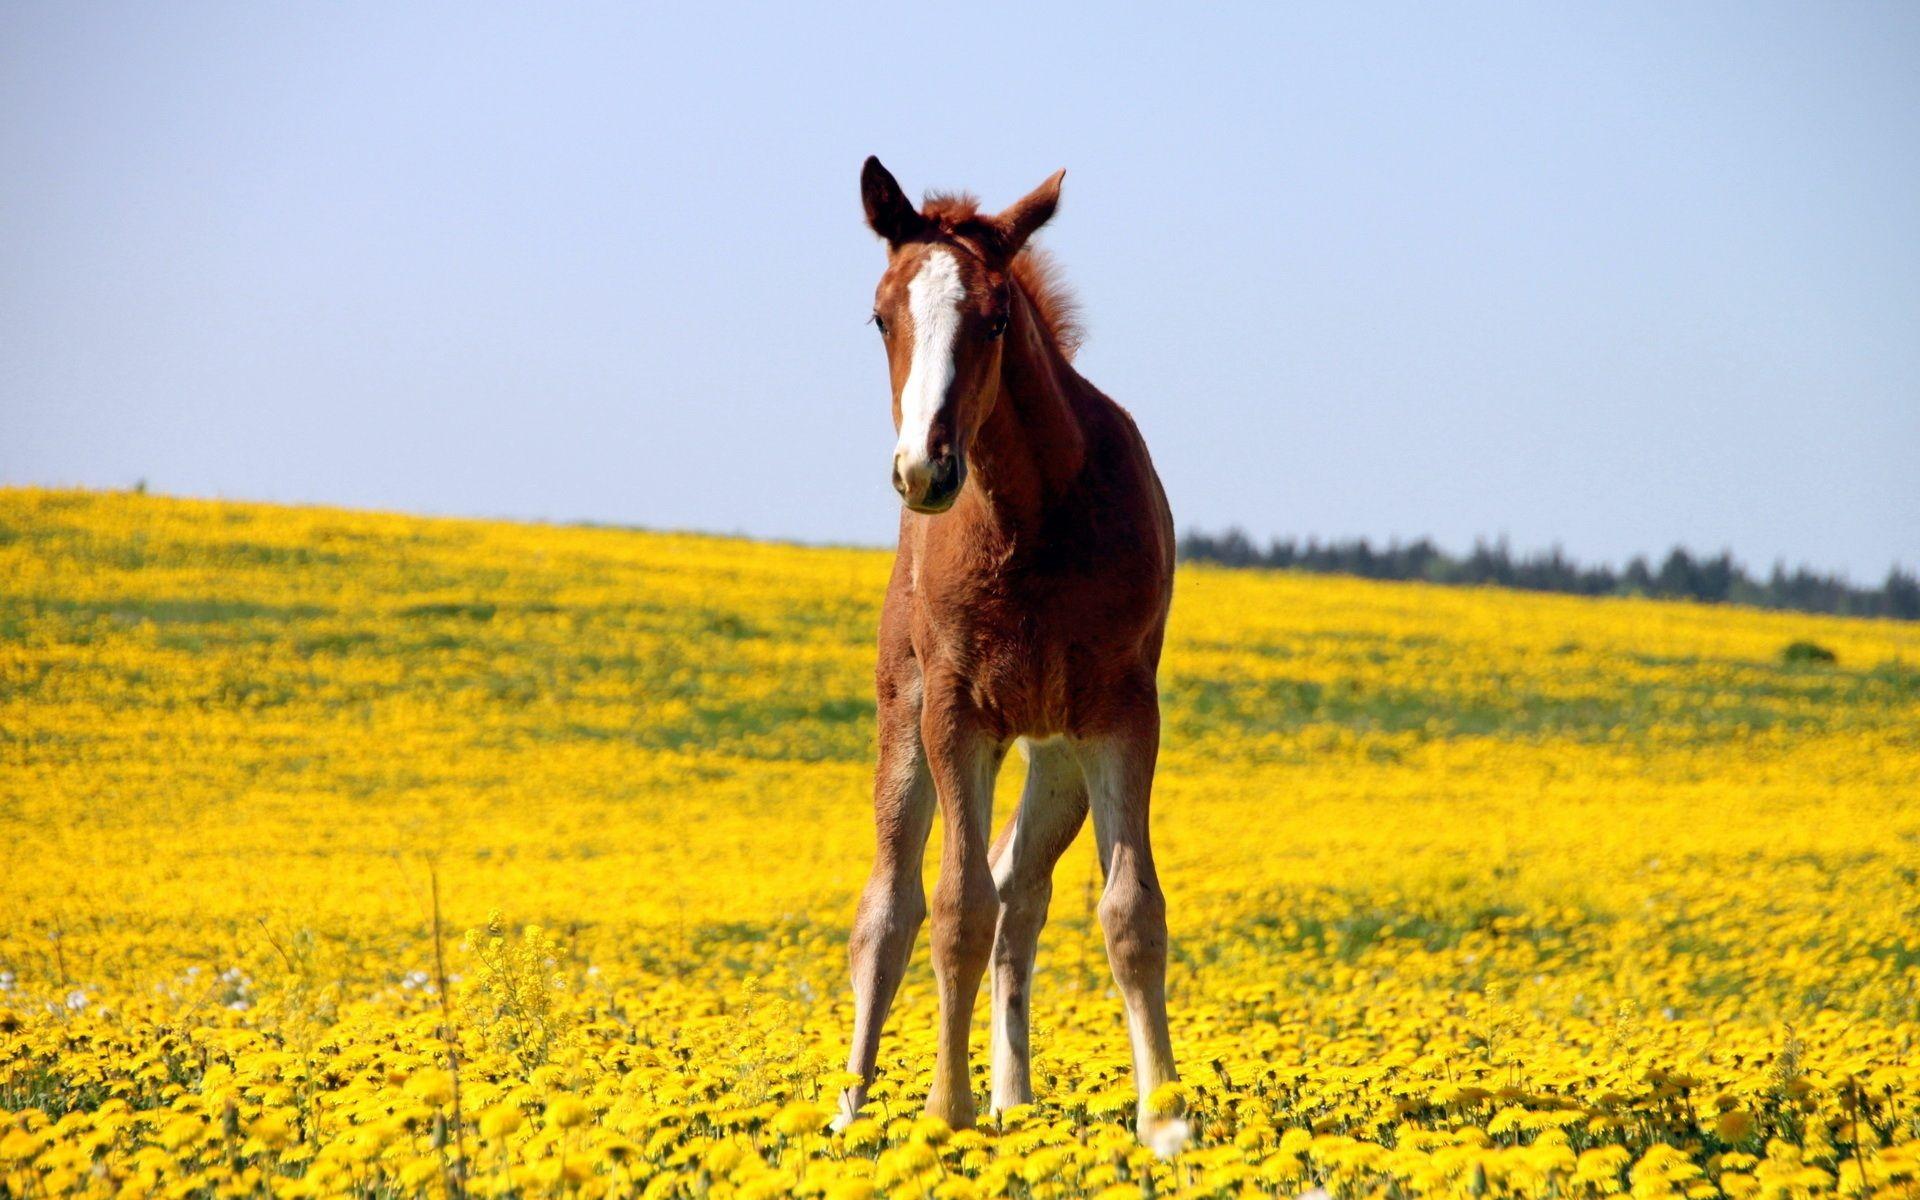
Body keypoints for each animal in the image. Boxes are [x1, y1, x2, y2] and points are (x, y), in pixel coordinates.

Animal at [838, 157, 1186, 1155]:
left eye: (995, 319)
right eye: (882, 316)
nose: (923, 470)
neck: (1031, 522)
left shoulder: (1119, 714)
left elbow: (1129, 911)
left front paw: (1166, 1120)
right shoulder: (958, 713)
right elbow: (953, 907)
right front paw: (943, 1112)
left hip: (1056, 761)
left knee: (1018, 890)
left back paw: (1015, 1103)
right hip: (907, 718)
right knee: (889, 907)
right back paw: (847, 1112)